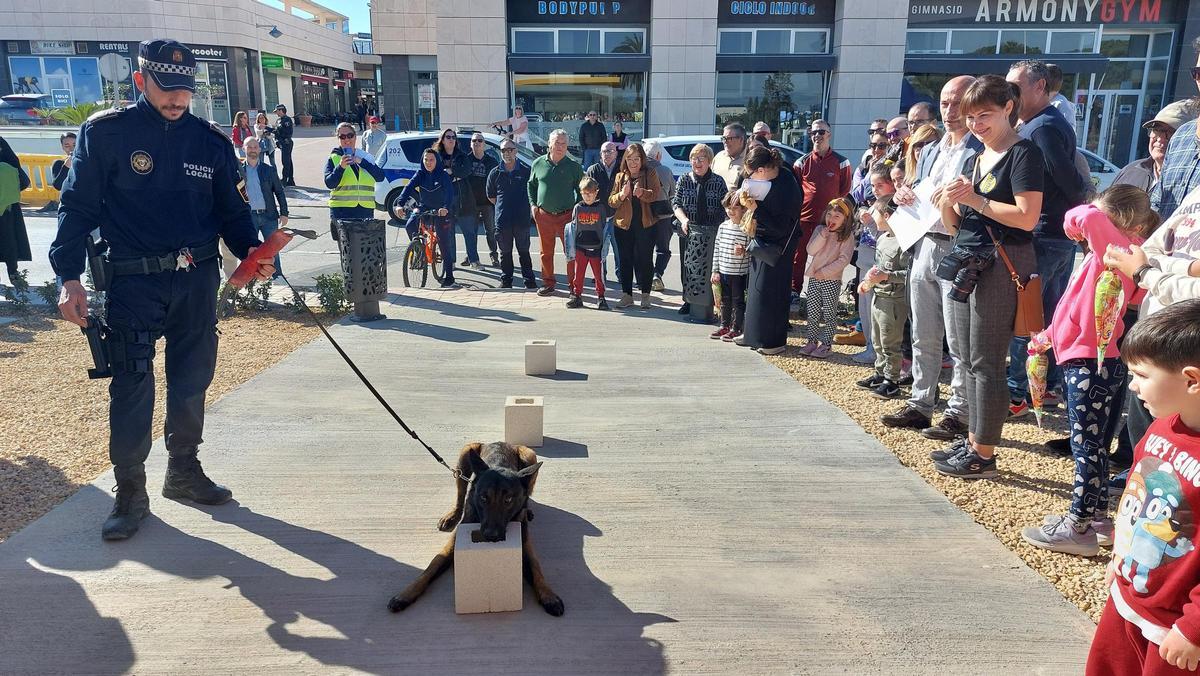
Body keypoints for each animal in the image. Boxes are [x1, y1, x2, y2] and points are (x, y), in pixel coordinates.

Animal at [388, 441, 566, 614]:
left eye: (508, 499)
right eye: (483, 497)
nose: (490, 535)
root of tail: (503, 442)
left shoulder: (525, 545)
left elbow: (536, 569)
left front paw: (548, 595)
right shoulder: (452, 545)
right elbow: (431, 567)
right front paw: (406, 594)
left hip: (530, 455)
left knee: (528, 491)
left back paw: (528, 509)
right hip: (465, 455)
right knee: (460, 495)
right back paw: (452, 515)